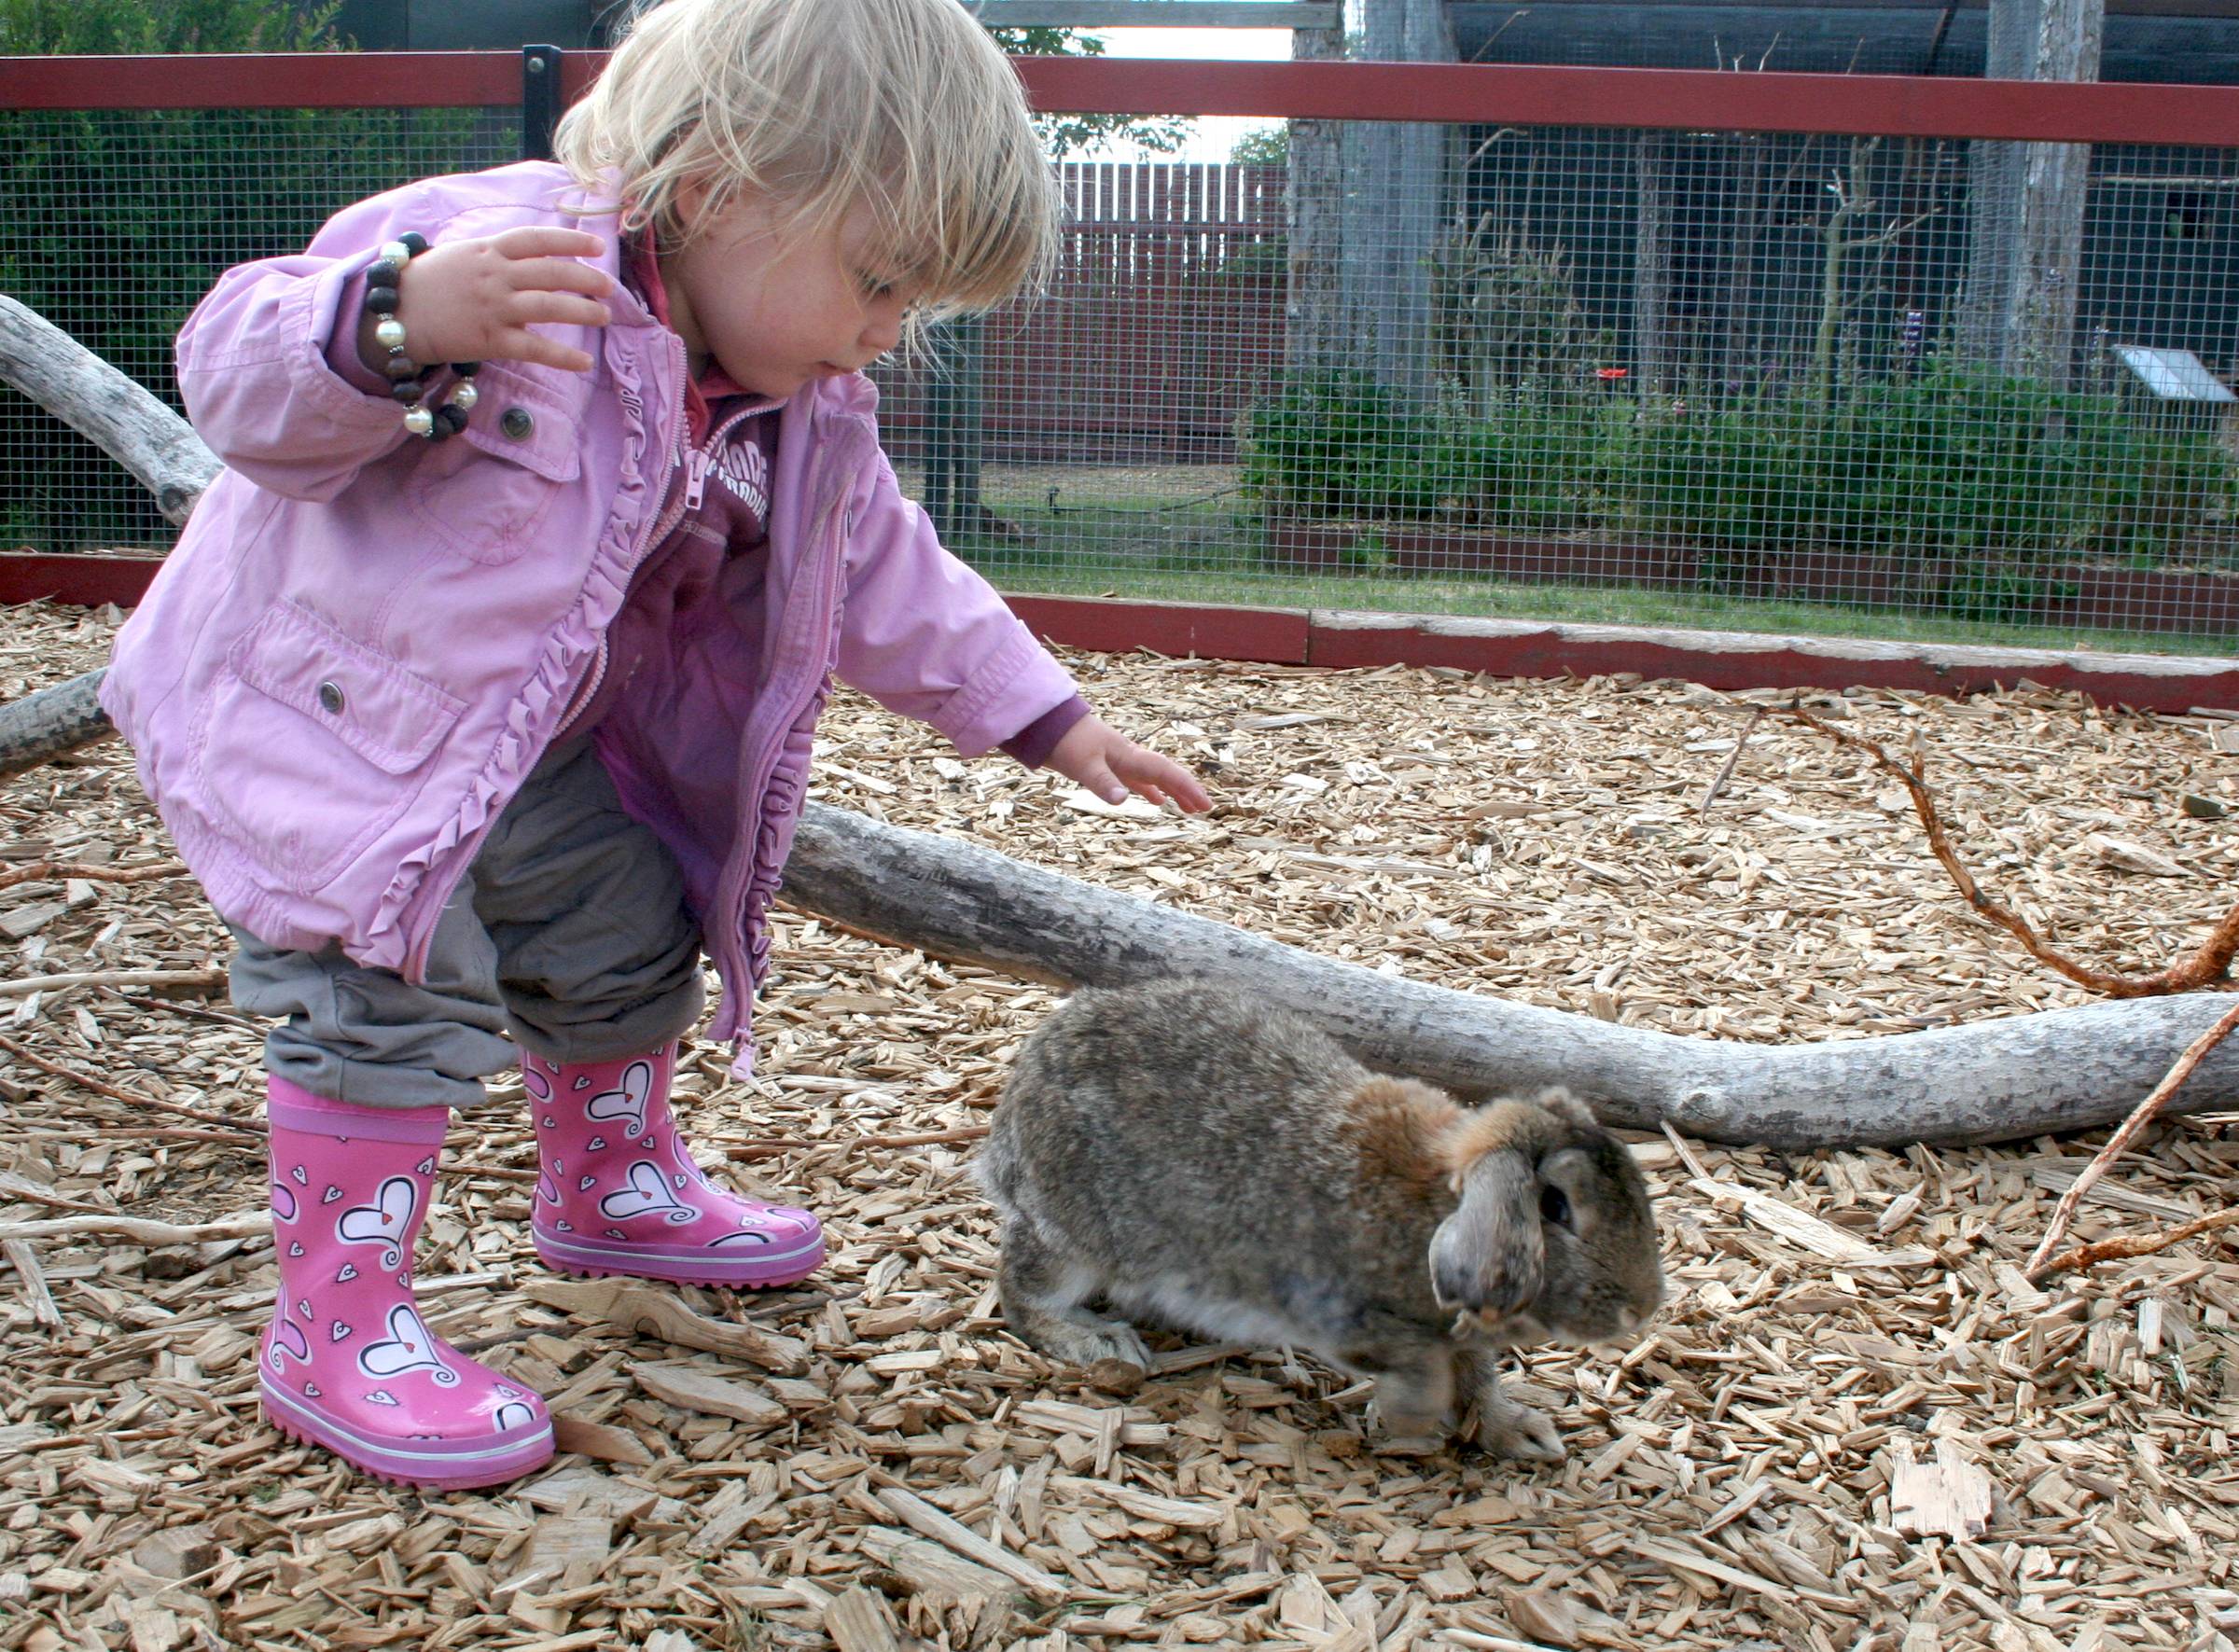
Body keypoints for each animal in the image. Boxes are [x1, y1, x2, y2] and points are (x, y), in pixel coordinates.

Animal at [976, 979, 1666, 1461]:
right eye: (1555, 1206)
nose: (1644, 1307)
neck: (1433, 1207)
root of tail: (1010, 1122)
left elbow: (1478, 1379)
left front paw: (1518, 1432)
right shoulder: (1342, 1315)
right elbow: (1421, 1365)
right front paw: (1414, 1418)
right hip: (1073, 1236)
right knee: (1023, 1292)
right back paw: (1099, 1340)